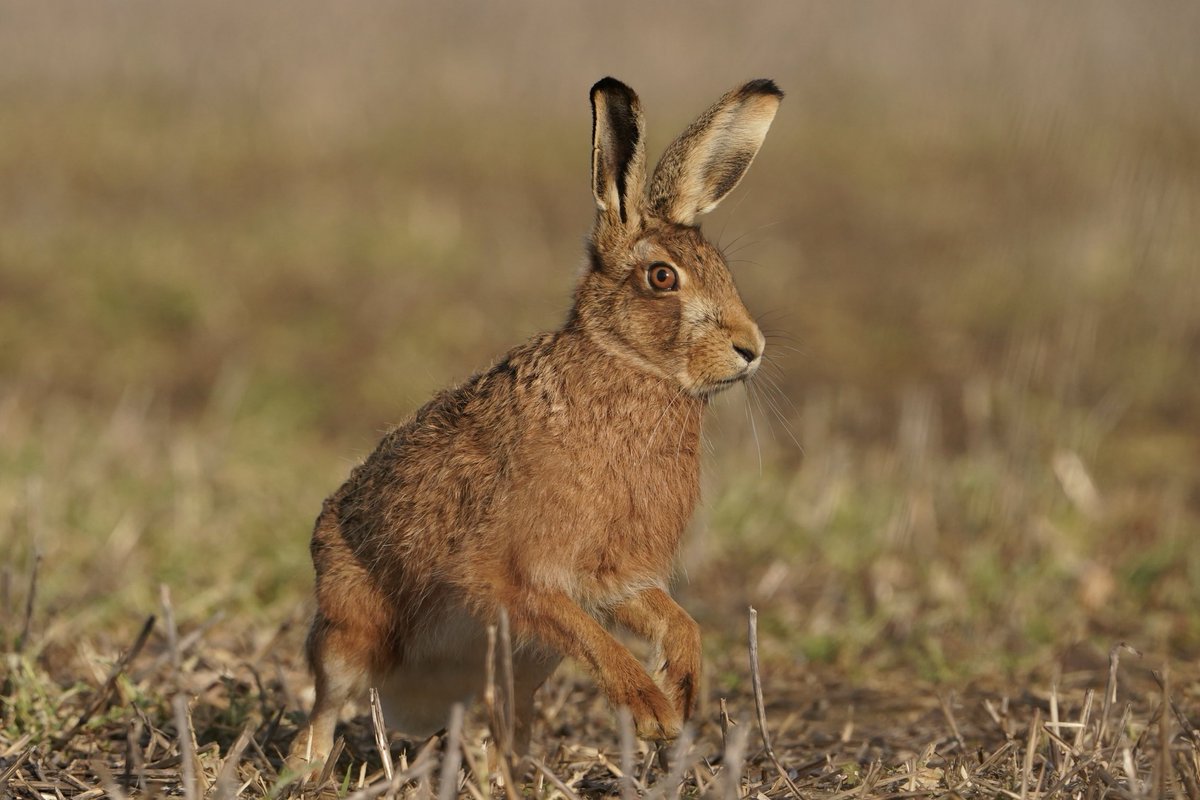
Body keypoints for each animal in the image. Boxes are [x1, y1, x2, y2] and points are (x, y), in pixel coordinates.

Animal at [288, 76, 782, 768]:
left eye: (724, 271)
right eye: (663, 277)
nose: (750, 348)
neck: (626, 365)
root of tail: (416, 698)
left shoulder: (615, 575)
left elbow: (675, 618)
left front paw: (681, 694)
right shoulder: (517, 578)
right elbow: (588, 632)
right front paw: (653, 713)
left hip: (521, 666)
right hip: (348, 635)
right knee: (323, 714)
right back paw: (305, 772)